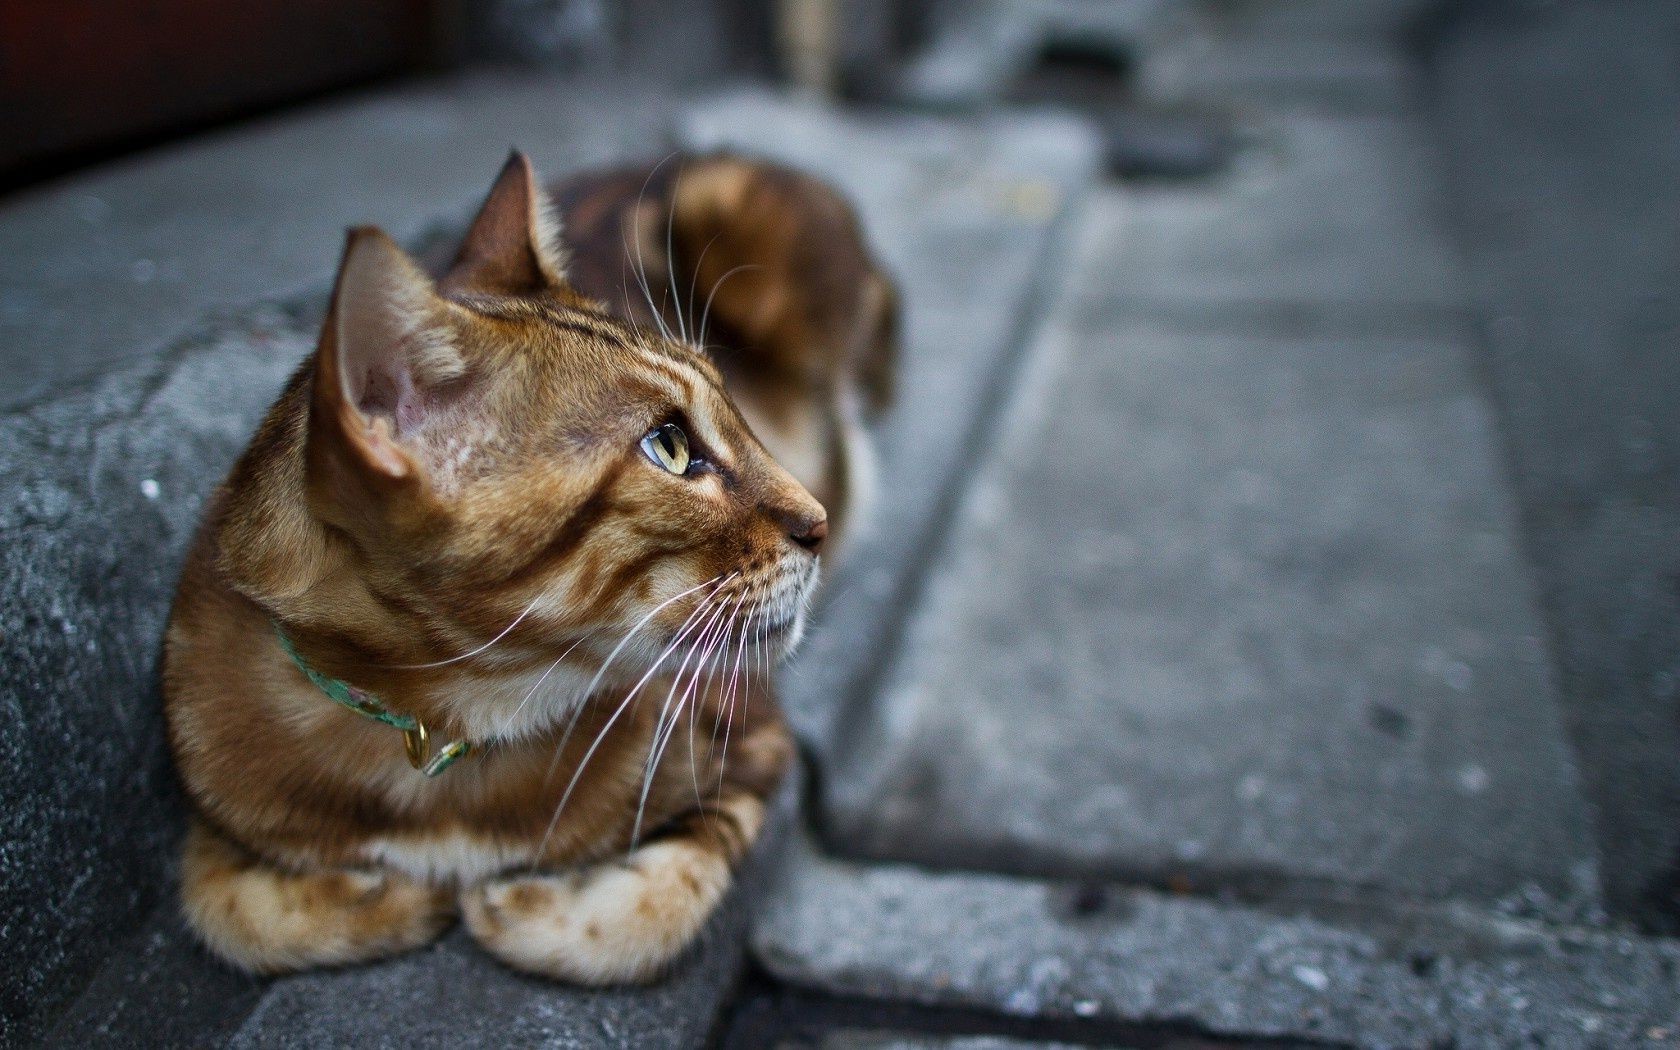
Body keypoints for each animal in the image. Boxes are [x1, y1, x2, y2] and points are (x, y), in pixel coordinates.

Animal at [165, 151, 900, 981]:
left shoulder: (755, 740)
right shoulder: (213, 809)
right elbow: (224, 907)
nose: (818, 522)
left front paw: (523, 905)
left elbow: (652, 908)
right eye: (670, 448)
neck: (453, 721)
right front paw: (388, 897)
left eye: (730, 407)